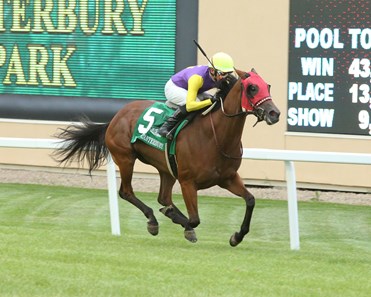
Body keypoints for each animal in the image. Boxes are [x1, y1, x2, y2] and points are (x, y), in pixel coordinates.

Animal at [55, 69, 280, 245]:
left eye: (267, 86)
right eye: (252, 88)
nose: (274, 113)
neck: (215, 136)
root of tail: (115, 117)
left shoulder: (228, 178)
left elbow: (250, 200)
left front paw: (237, 236)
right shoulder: (188, 181)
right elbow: (195, 219)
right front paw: (177, 219)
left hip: (166, 168)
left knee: (163, 197)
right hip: (125, 158)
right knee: (126, 192)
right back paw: (153, 220)